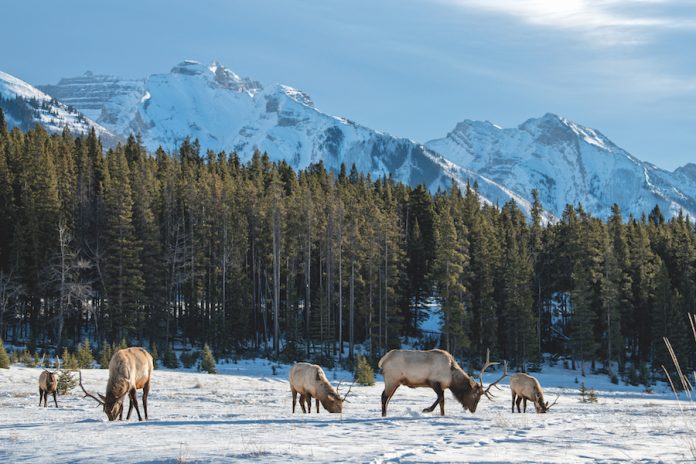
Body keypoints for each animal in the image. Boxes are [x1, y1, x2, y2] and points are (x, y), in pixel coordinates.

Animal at [378, 348, 508, 416]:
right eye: (475, 396)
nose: (473, 410)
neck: (452, 377)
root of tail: (382, 360)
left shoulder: (442, 386)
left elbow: (442, 402)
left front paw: (442, 414)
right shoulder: (434, 382)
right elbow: (440, 398)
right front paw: (427, 410)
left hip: (395, 382)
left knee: (387, 398)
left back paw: (385, 414)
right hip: (391, 379)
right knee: (384, 396)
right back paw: (384, 415)